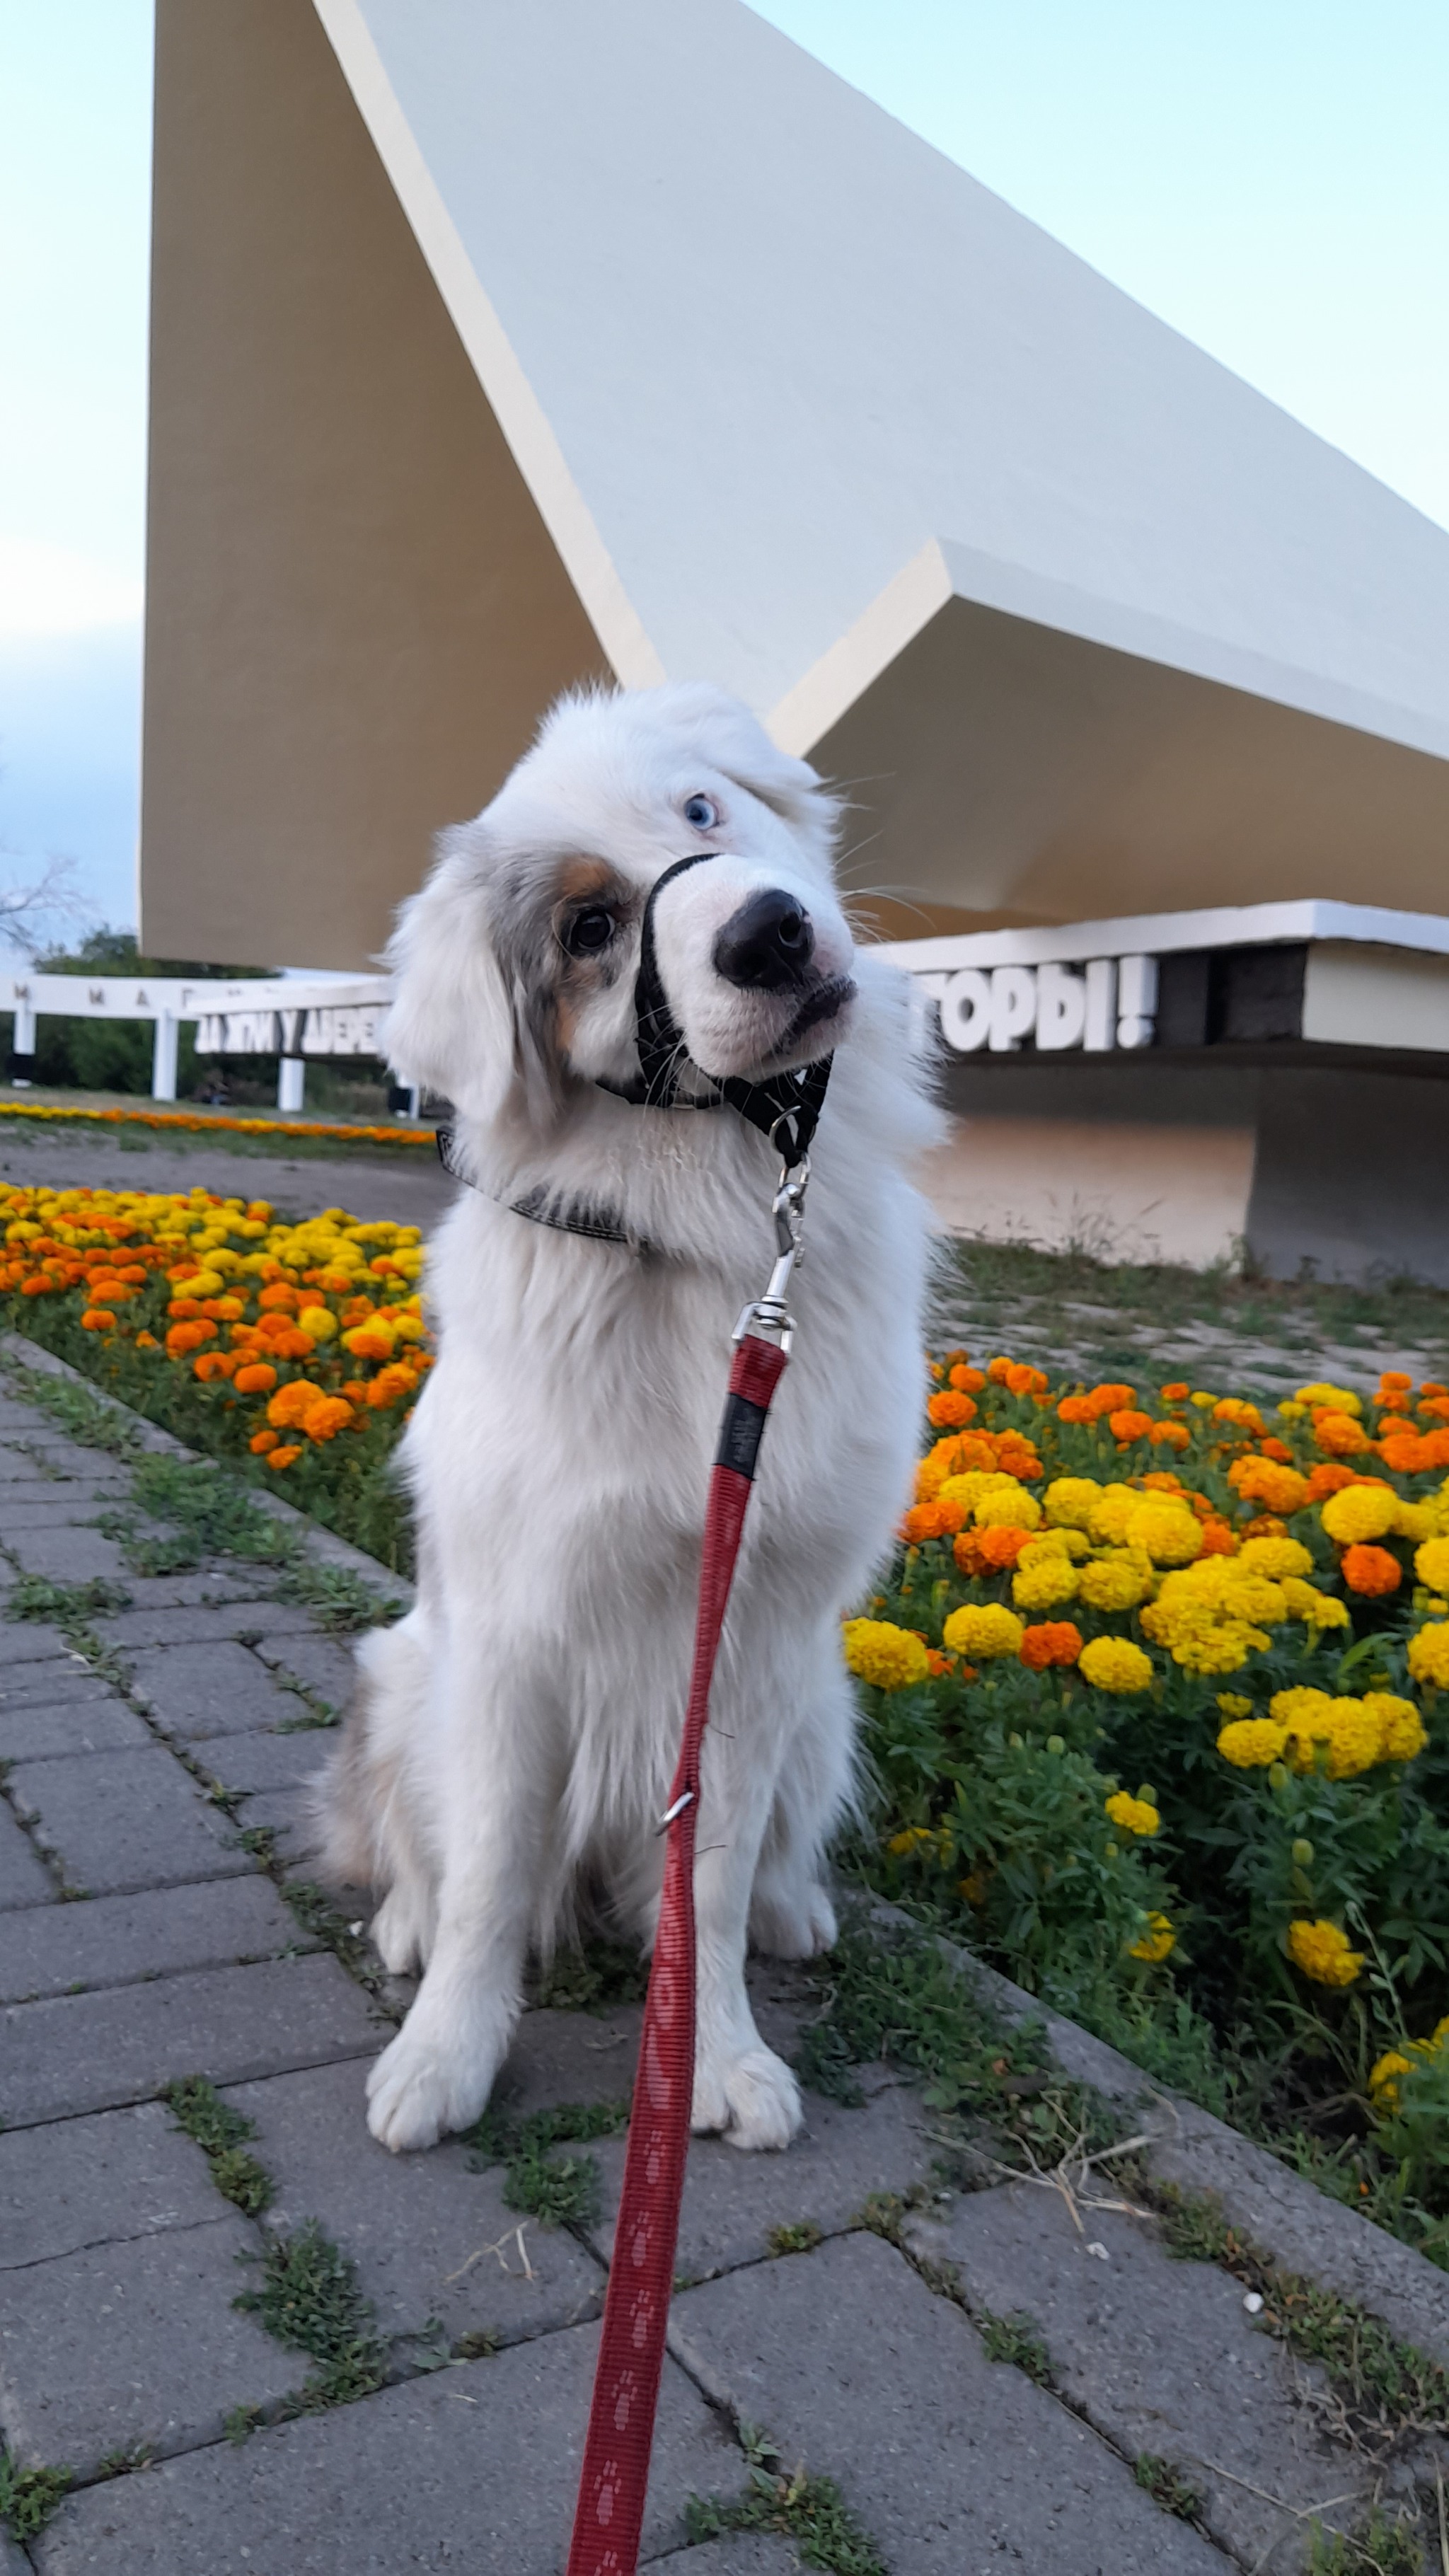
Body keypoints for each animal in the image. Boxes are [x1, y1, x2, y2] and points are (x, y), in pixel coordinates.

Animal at [316, 680, 938, 2153]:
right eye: (590, 931)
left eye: (702, 810)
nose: (769, 934)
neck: (699, 1240)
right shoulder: (510, 1635)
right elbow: (490, 1874)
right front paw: (445, 2059)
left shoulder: (755, 1635)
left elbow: (704, 1878)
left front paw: (716, 2056)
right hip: (401, 1675)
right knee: (418, 1851)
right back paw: (406, 1928)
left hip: (825, 1699)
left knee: (772, 1856)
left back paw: (792, 1912)